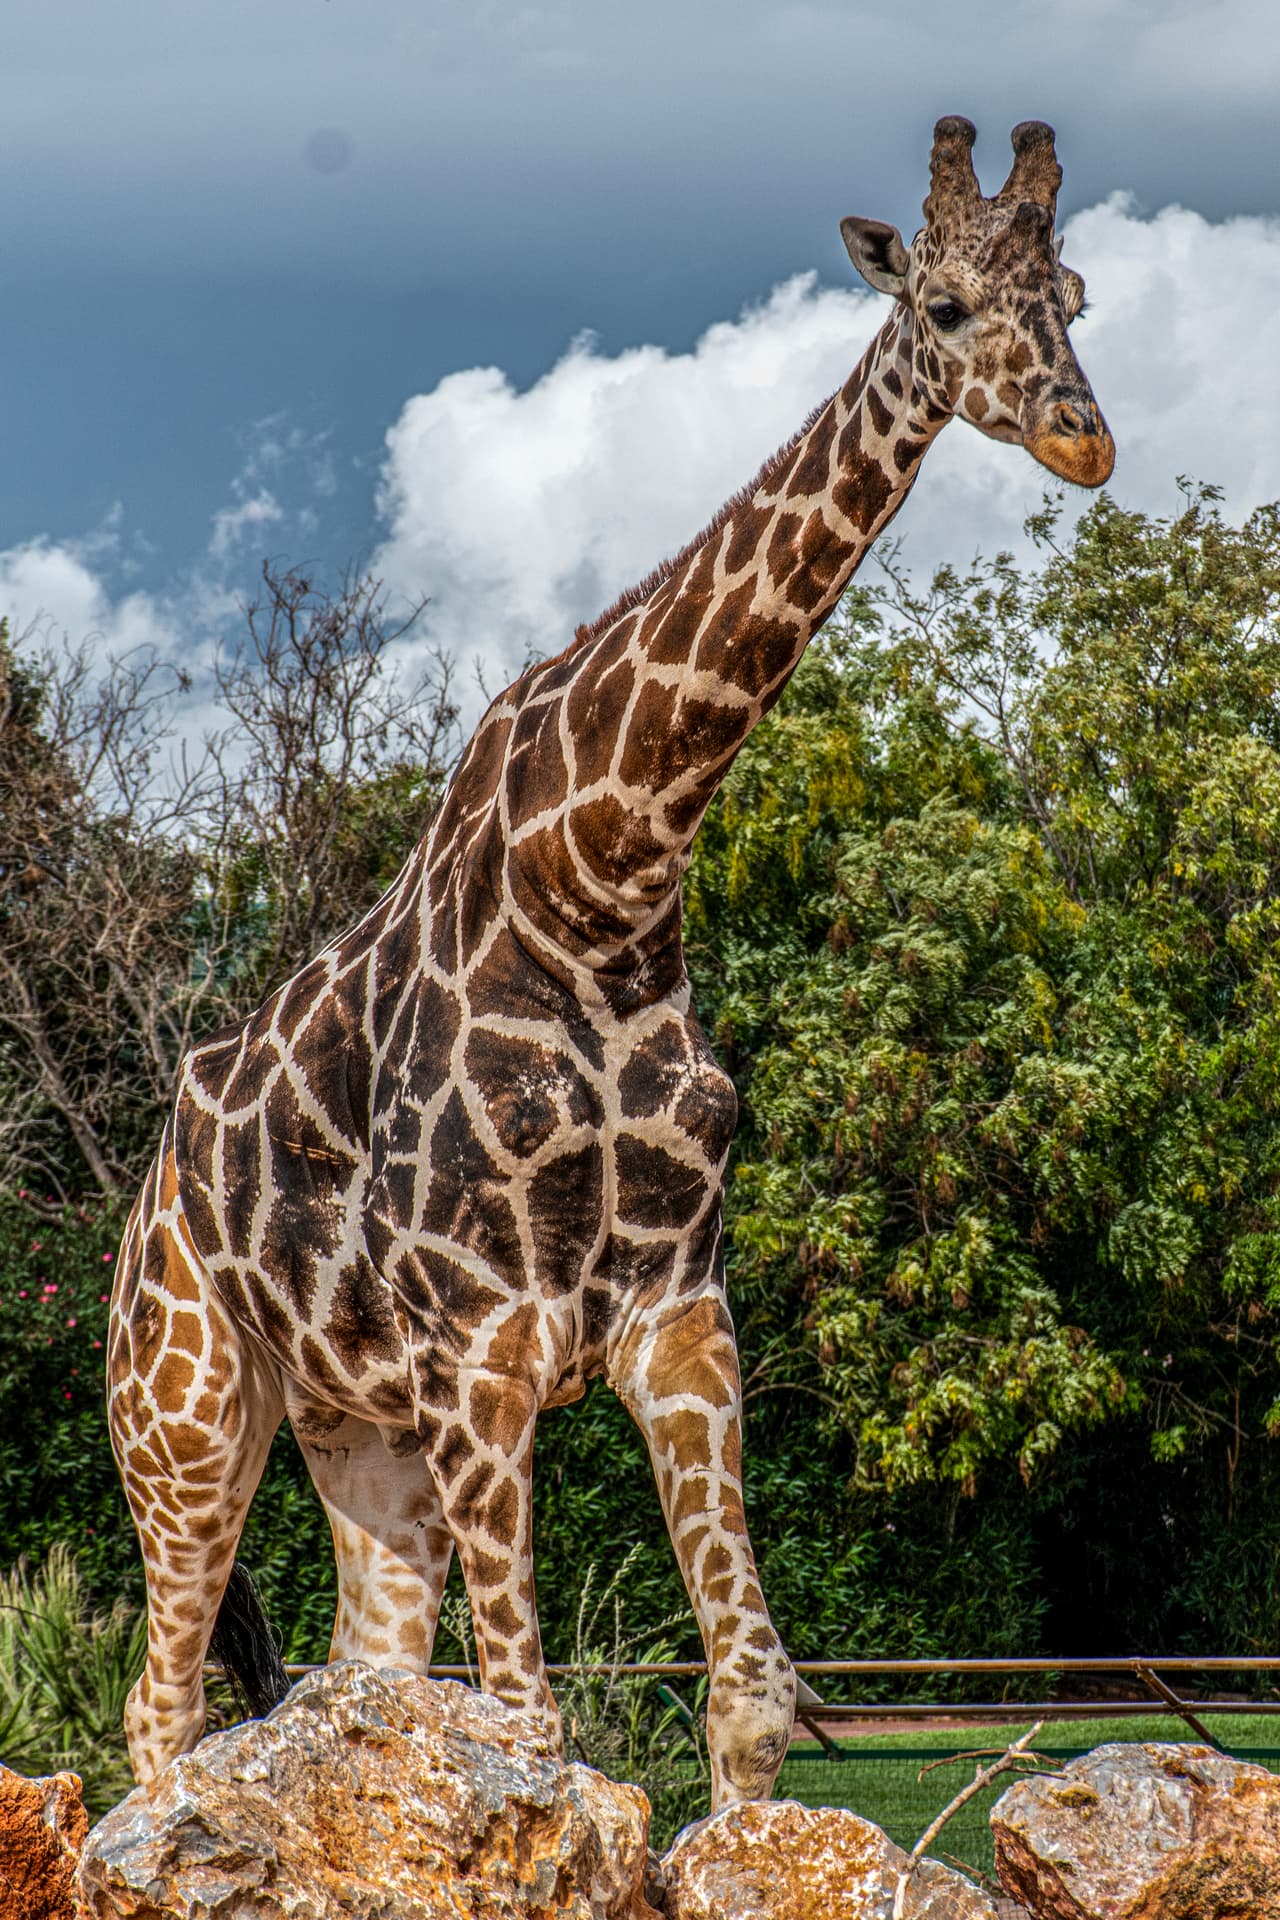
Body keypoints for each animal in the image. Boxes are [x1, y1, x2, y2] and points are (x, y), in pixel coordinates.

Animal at [108, 117, 1113, 1813]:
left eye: (1079, 300)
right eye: (951, 305)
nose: (1082, 440)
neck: (604, 883)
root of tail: (135, 1215)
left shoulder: (679, 1318)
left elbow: (747, 1699)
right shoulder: (479, 1343)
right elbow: (532, 1725)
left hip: (354, 1428)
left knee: (362, 1685)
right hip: (182, 1415)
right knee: (161, 1711)